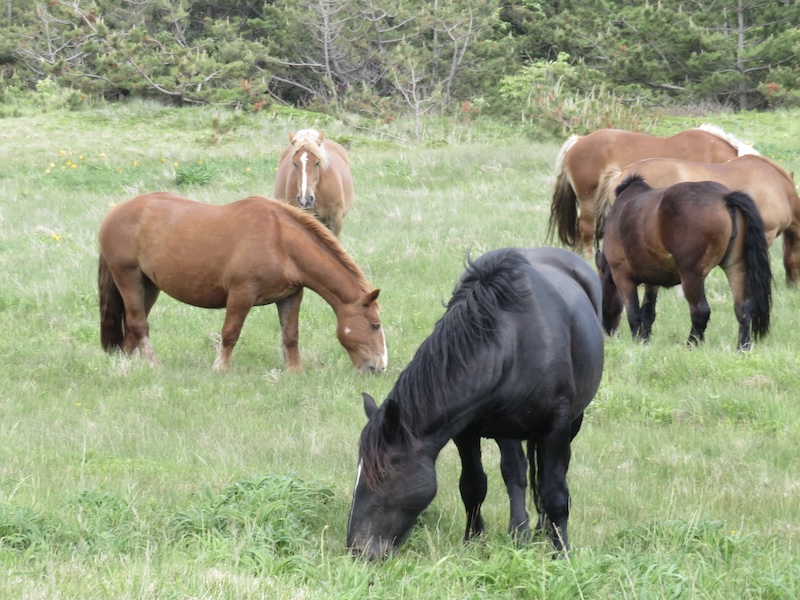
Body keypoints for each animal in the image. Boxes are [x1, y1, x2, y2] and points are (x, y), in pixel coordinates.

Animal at [100, 192, 388, 370]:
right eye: (374, 325)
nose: (380, 367)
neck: (280, 241)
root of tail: (115, 211)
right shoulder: (242, 294)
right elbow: (230, 333)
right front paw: (220, 368)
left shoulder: (291, 296)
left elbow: (290, 335)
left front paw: (295, 370)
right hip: (128, 276)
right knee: (138, 324)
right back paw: (154, 365)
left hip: (149, 285)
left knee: (132, 329)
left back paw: (128, 365)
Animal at [346, 246, 604, 560]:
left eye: (383, 475)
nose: (358, 548)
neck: (513, 339)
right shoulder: (465, 432)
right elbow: (473, 485)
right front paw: (474, 540)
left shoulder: (556, 428)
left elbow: (554, 492)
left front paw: (561, 552)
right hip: (508, 429)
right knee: (516, 472)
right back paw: (521, 532)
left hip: (570, 423)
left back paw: (542, 531)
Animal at [596, 176, 772, 350]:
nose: (608, 332)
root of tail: (724, 197)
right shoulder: (652, 280)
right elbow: (648, 313)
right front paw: (645, 341)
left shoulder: (622, 276)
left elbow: (633, 314)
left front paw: (637, 343)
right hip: (736, 268)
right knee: (743, 307)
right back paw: (743, 347)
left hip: (691, 275)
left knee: (700, 311)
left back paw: (692, 345)